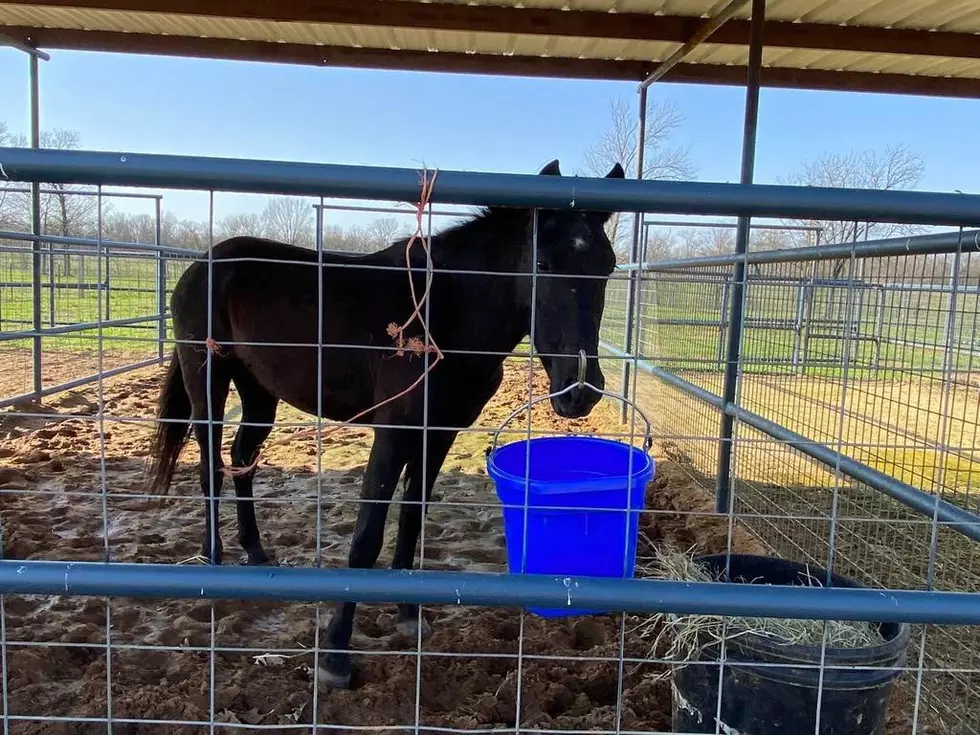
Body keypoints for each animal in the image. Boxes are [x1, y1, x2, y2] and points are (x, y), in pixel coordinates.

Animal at [149, 158, 624, 688]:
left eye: (607, 266)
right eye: (542, 265)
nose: (579, 390)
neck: (443, 314)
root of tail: (202, 263)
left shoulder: (438, 437)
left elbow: (413, 518)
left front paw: (408, 613)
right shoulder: (393, 434)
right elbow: (366, 537)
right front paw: (335, 655)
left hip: (258, 392)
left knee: (242, 458)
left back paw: (255, 551)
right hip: (207, 383)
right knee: (210, 464)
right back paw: (214, 559)